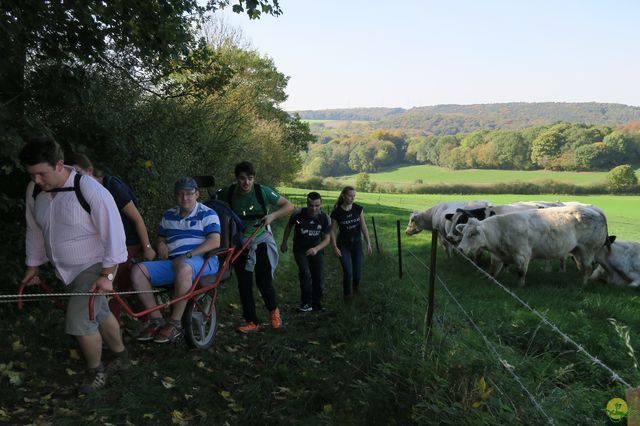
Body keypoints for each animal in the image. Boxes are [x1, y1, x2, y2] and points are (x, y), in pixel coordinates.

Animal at [458, 206, 608, 286]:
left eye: (472, 234)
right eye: (463, 233)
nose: (460, 248)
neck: (500, 231)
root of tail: (594, 209)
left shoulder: (522, 254)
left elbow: (521, 272)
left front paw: (520, 286)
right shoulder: (497, 256)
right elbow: (492, 271)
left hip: (588, 250)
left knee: (588, 268)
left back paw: (583, 284)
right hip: (577, 251)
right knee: (582, 267)